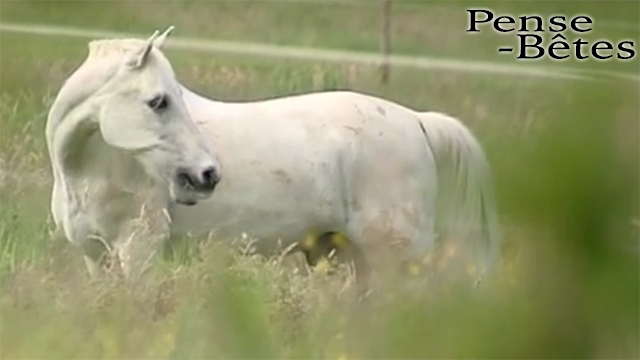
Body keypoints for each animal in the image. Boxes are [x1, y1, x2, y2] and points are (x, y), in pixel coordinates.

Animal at [47, 26, 502, 288]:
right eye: (158, 101)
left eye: (170, 98)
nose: (207, 175)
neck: (88, 170)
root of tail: (417, 121)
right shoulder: (96, 257)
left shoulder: (137, 251)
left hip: (395, 259)